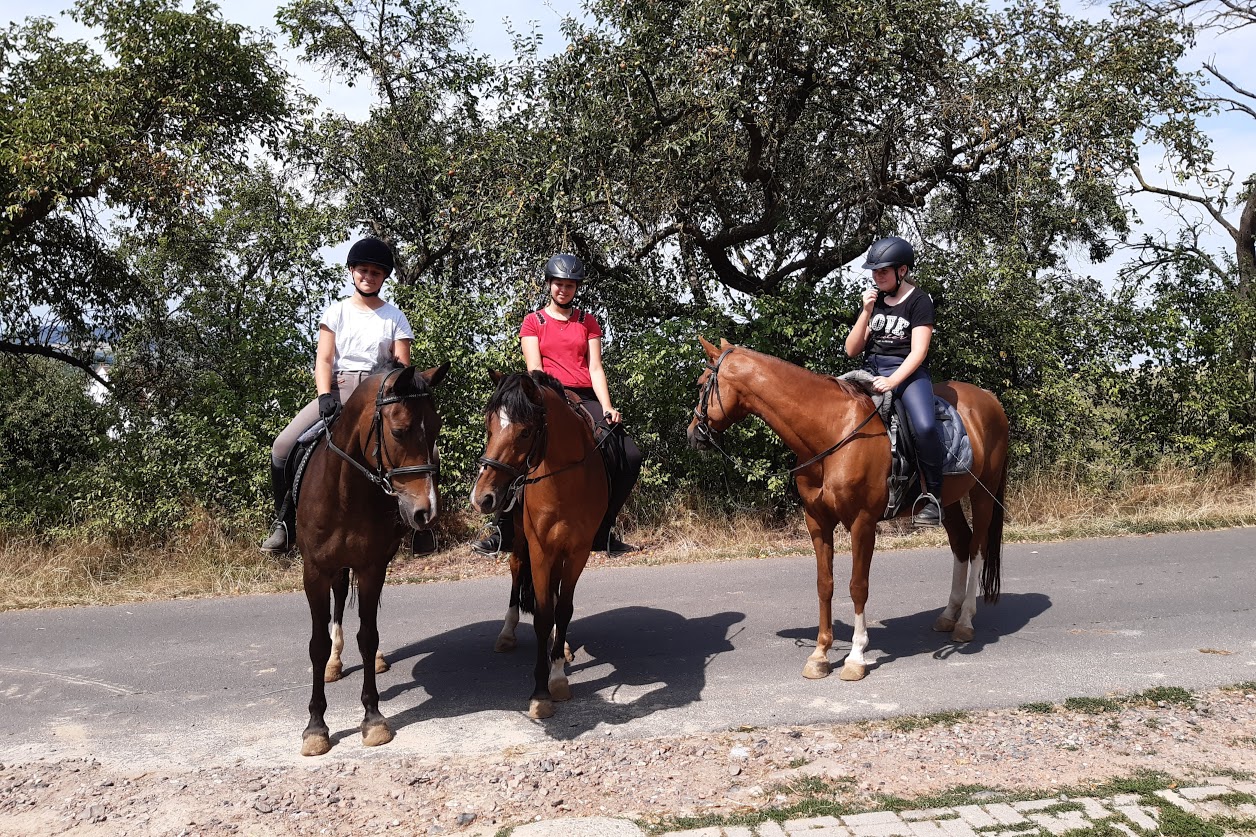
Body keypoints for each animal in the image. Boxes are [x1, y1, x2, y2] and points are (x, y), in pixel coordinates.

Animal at [293, 359, 452, 754]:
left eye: (436, 428)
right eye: (399, 430)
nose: (426, 512)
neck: (345, 490)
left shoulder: (371, 568)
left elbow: (369, 637)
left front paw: (373, 718)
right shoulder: (314, 571)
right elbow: (317, 644)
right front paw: (315, 726)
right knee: (337, 605)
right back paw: (335, 663)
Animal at [472, 369, 607, 718]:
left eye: (525, 432)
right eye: (489, 425)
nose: (482, 498)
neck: (564, 480)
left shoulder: (577, 551)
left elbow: (563, 608)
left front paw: (557, 674)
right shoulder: (540, 549)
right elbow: (543, 616)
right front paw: (541, 692)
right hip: (522, 541)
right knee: (516, 568)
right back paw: (507, 633)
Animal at [688, 336, 1009, 683]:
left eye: (702, 384)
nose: (692, 433)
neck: (832, 433)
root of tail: (990, 399)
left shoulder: (862, 523)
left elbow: (858, 587)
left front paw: (856, 657)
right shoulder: (818, 522)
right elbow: (825, 584)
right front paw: (820, 655)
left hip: (982, 494)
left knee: (976, 549)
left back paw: (964, 622)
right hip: (947, 502)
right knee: (961, 544)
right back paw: (949, 615)